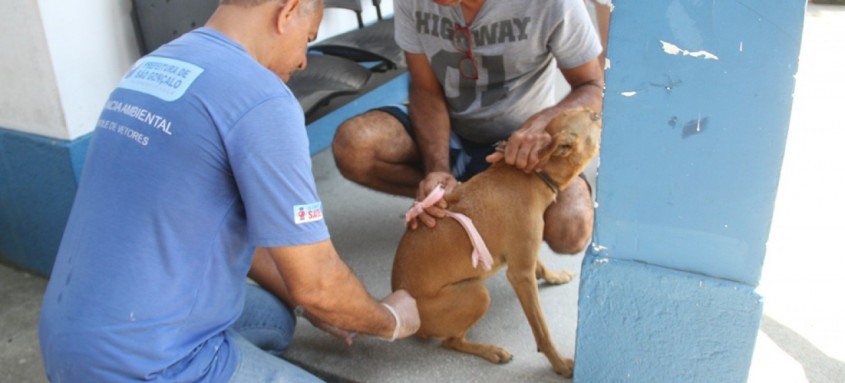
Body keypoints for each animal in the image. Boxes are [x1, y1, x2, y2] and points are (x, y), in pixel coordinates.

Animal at [392, 106, 604, 376]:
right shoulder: (520, 275)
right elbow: (542, 331)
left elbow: (541, 266)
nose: (599, 109)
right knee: (451, 341)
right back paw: (492, 351)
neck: (533, 175)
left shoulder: (524, 255)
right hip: (478, 294)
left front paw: (556, 277)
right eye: (594, 118)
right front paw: (559, 364)